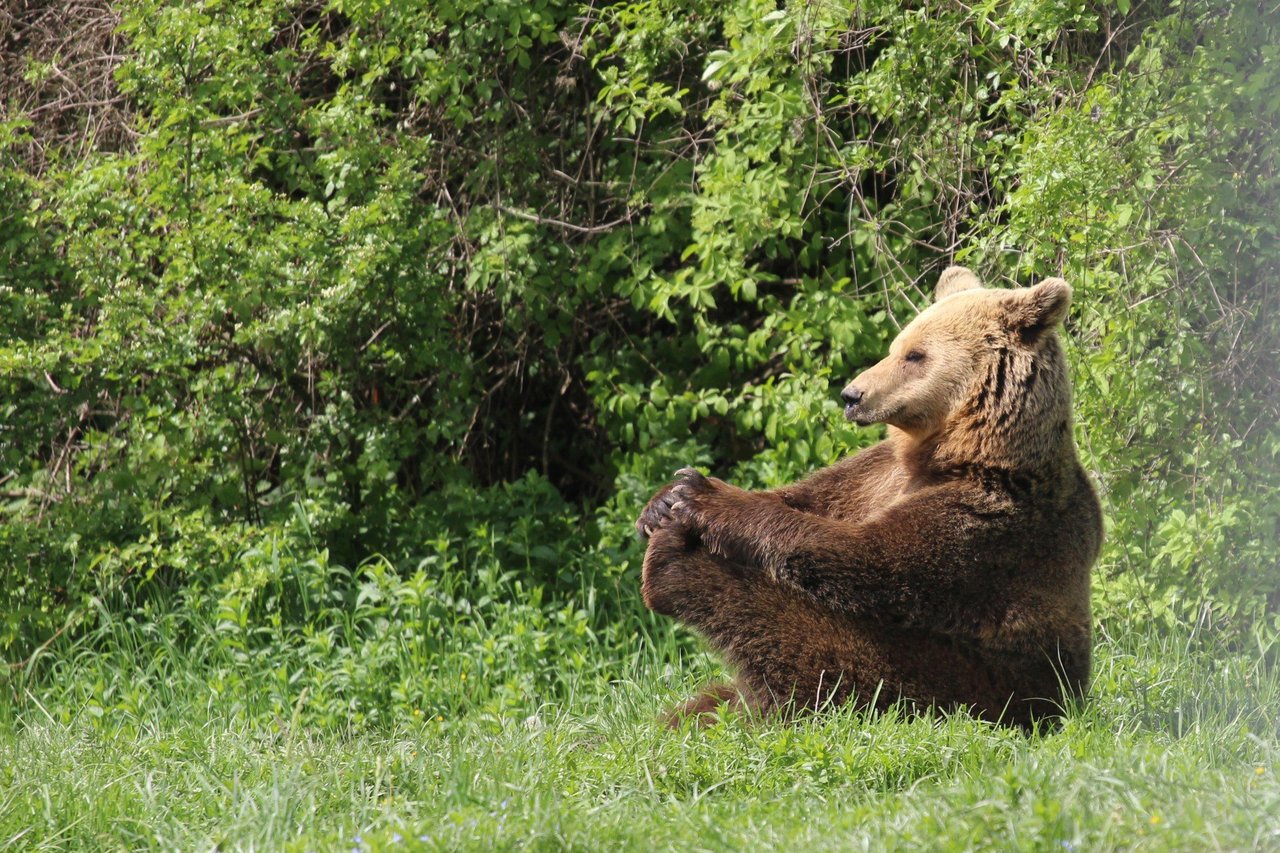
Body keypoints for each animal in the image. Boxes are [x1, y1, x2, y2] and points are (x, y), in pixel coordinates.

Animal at [637, 266, 1100, 722]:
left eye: (915, 355)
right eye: (896, 347)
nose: (852, 395)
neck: (961, 451)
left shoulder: (988, 516)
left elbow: (866, 554)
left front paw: (699, 497)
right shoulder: (874, 475)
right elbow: (806, 498)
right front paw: (663, 500)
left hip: (961, 678)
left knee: (794, 635)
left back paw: (672, 566)